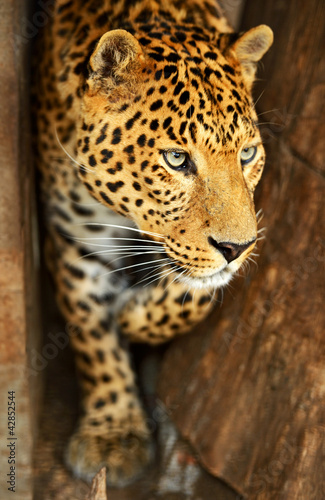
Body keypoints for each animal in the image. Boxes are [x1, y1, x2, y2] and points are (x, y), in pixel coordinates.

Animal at [34, 0, 272, 486]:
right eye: (176, 159)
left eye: (247, 154)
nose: (237, 249)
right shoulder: (75, 238)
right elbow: (92, 335)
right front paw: (113, 434)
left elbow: (192, 293)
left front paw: (131, 318)